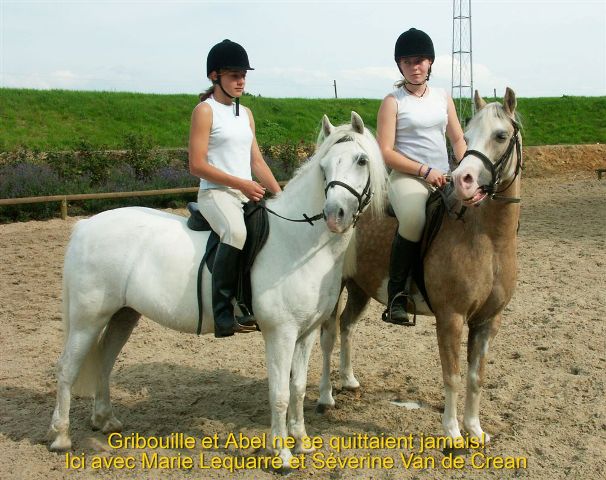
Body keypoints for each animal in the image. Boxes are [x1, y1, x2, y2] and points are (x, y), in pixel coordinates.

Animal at [48, 112, 388, 468]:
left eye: (361, 160)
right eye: (324, 166)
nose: (335, 215)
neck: (298, 242)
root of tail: (86, 226)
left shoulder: (305, 333)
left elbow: (297, 388)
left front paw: (302, 443)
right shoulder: (280, 333)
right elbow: (279, 393)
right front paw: (281, 454)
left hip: (123, 315)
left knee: (104, 360)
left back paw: (105, 421)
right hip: (88, 319)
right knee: (67, 368)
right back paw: (61, 437)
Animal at [319, 88, 522, 443]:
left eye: (500, 136)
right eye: (468, 136)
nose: (464, 181)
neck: (487, 239)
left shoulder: (487, 322)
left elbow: (476, 377)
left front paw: (475, 430)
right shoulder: (451, 318)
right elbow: (452, 375)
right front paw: (453, 433)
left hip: (360, 288)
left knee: (347, 326)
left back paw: (349, 380)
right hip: (337, 289)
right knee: (329, 333)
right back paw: (326, 397)